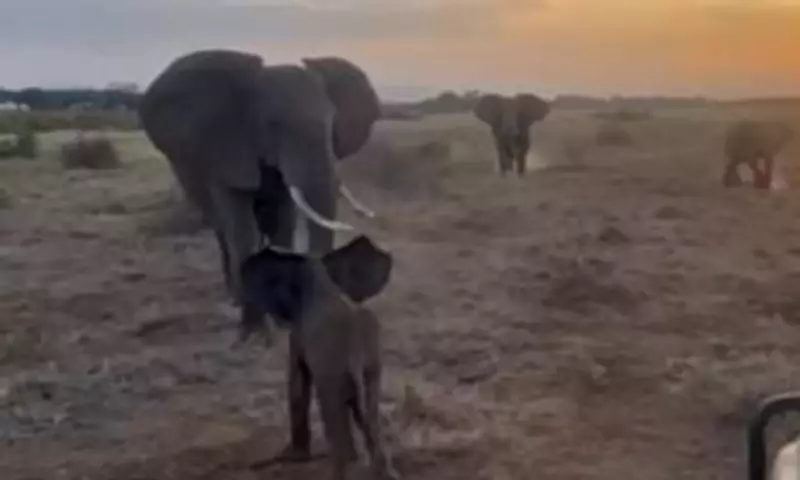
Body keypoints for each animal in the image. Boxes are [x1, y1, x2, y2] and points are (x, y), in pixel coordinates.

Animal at [138, 49, 380, 317]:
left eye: (332, 121)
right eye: (272, 124)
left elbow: (283, 222)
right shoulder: (226, 151)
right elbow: (240, 225)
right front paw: (251, 311)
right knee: (221, 228)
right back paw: (232, 294)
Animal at [240, 235, 398, 480]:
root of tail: (353, 351)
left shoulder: (300, 332)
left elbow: (298, 378)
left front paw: (293, 457)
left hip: (333, 371)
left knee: (333, 412)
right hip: (370, 366)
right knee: (370, 415)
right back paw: (383, 472)